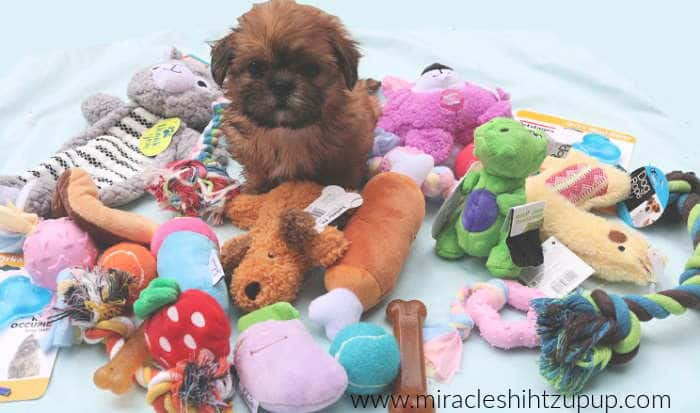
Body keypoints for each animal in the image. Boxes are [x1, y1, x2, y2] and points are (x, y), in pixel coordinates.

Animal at [211, 0, 380, 193]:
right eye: (255, 67)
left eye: (311, 69)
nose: (281, 85)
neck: (287, 132)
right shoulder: (253, 159)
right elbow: (257, 178)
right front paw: (252, 192)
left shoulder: (348, 156)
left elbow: (345, 177)